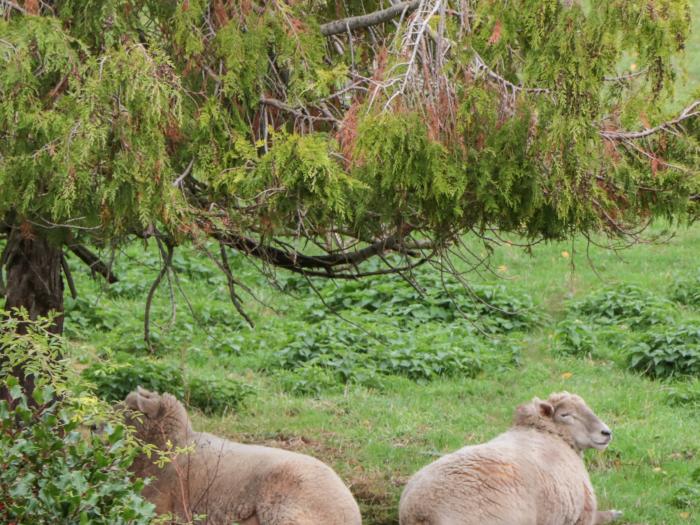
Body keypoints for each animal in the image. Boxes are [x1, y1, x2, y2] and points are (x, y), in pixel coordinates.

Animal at [400, 390, 624, 524]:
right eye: (566, 415)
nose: (606, 432)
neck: (550, 433)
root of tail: (420, 512)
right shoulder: (583, 513)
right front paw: (614, 513)